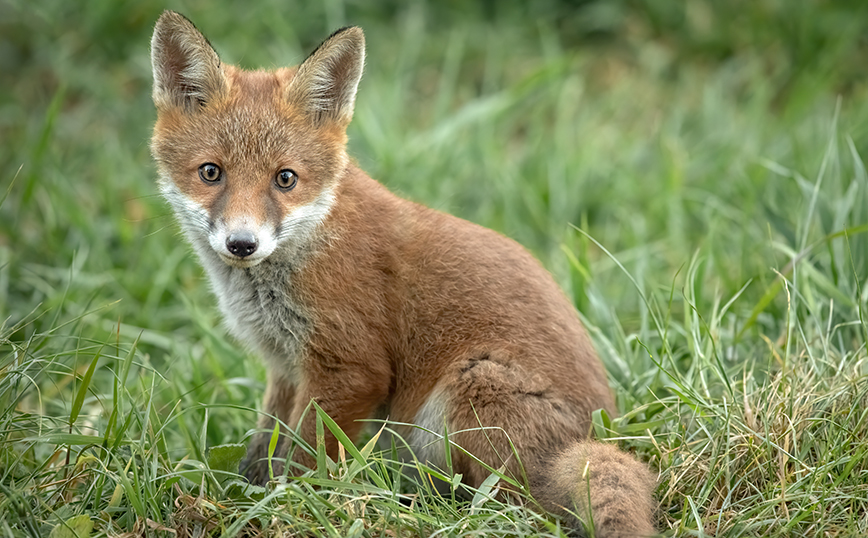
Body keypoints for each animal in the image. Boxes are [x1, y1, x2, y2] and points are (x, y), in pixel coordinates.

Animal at [149, 10, 656, 532]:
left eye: (285, 179)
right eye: (211, 172)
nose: (242, 244)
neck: (309, 245)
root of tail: (600, 434)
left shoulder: (352, 368)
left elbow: (305, 455)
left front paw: (289, 508)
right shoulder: (284, 366)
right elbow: (264, 443)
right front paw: (245, 493)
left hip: (468, 391)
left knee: (515, 506)